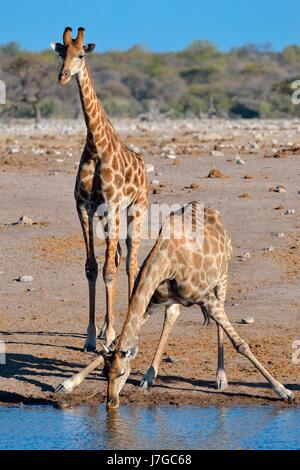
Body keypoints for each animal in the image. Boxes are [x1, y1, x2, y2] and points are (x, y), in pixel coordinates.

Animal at [52, 25, 149, 348]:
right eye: (61, 53)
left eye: (81, 54)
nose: (63, 76)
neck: (96, 146)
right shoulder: (85, 206)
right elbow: (92, 268)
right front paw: (92, 336)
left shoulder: (114, 204)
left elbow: (109, 270)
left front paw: (111, 334)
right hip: (109, 216)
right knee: (118, 257)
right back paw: (111, 323)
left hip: (135, 209)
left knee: (130, 260)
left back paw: (129, 322)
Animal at [55, 204, 294, 410]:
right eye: (106, 374)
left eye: (122, 373)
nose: (111, 403)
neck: (167, 261)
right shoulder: (152, 302)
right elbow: (118, 341)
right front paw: (67, 383)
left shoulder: (206, 298)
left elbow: (241, 344)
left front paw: (283, 390)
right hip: (175, 299)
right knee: (172, 316)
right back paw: (149, 375)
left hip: (222, 278)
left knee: (219, 325)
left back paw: (221, 378)